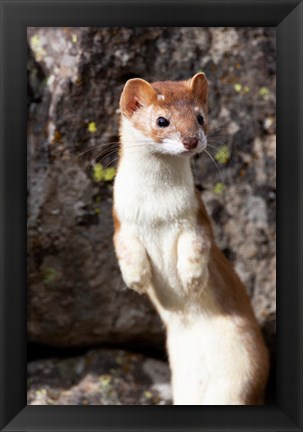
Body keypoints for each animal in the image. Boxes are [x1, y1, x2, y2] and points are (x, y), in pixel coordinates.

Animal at [113, 74, 270, 404]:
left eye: (200, 117)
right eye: (162, 120)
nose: (191, 140)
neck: (155, 210)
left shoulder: (194, 217)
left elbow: (197, 247)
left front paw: (192, 280)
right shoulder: (122, 220)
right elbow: (126, 251)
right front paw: (137, 280)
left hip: (245, 370)